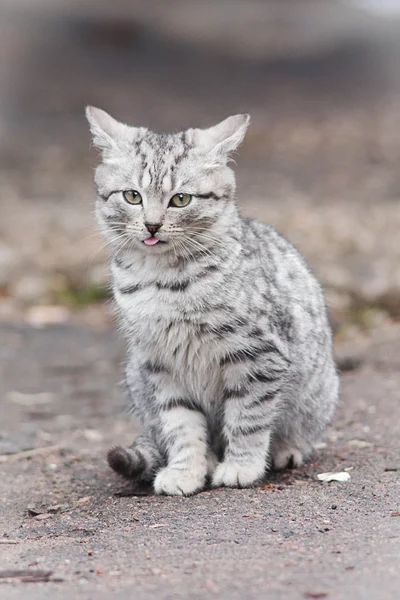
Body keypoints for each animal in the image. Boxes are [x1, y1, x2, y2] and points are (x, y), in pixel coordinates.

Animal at [86, 106, 340, 496]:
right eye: (132, 196)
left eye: (181, 199)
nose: (152, 225)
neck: (163, 281)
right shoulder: (160, 364)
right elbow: (181, 425)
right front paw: (186, 470)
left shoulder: (258, 356)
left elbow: (248, 418)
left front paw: (241, 467)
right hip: (136, 377)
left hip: (317, 393)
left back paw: (285, 450)